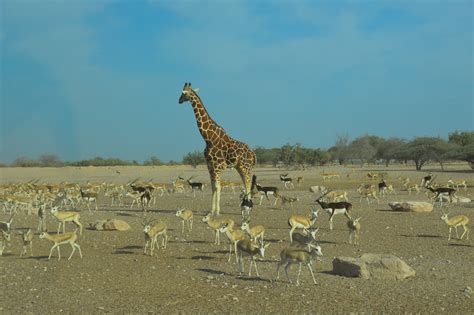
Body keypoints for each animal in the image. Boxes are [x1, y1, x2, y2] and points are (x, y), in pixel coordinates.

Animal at [180, 82, 258, 216]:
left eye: (184, 93)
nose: (179, 100)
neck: (208, 138)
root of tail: (253, 153)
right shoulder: (210, 166)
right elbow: (213, 187)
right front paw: (212, 210)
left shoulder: (216, 166)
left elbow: (218, 187)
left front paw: (217, 211)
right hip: (239, 167)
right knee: (245, 183)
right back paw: (247, 206)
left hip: (245, 167)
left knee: (247, 184)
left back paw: (248, 207)